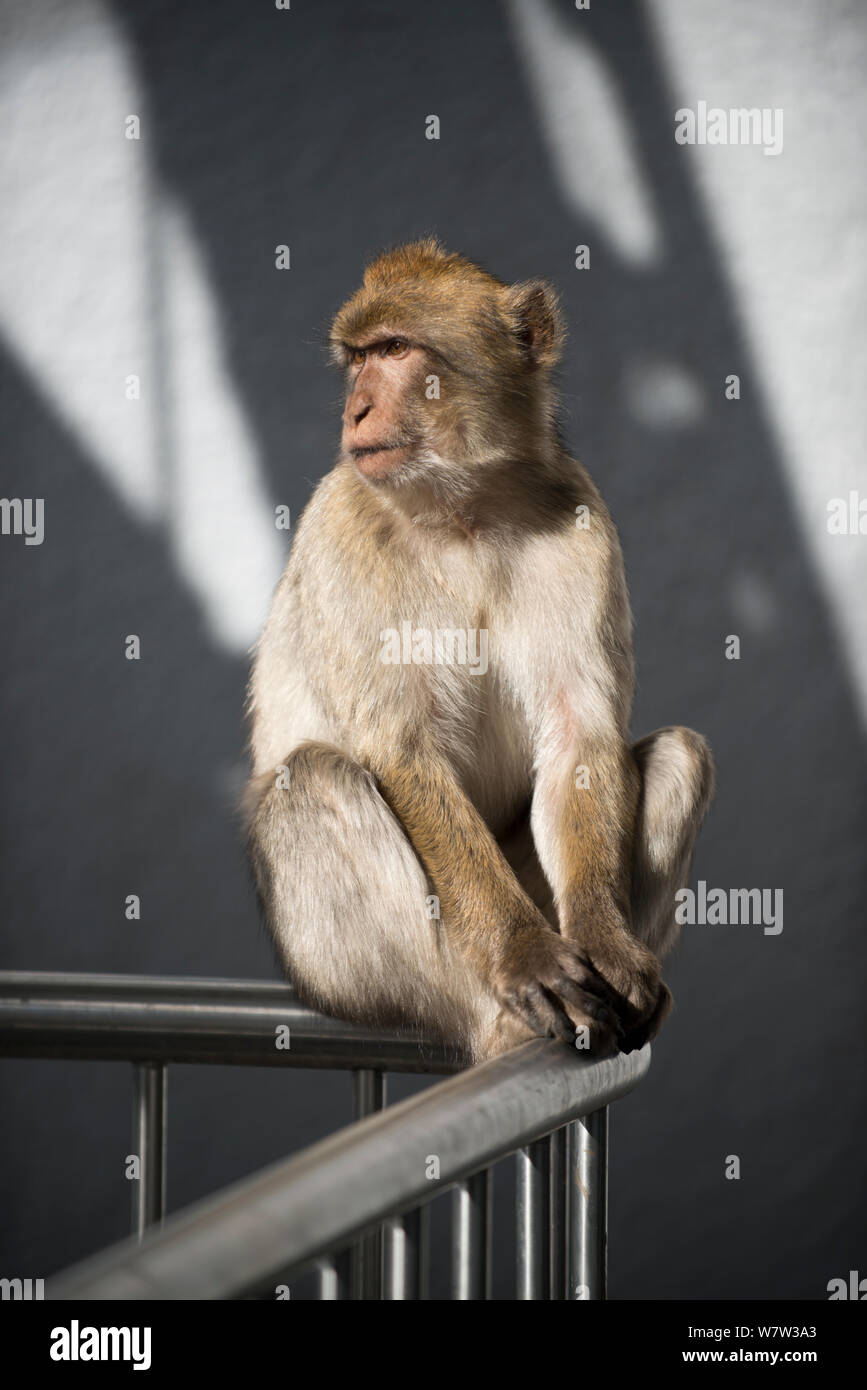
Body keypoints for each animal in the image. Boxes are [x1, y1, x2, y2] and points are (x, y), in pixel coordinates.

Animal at [241, 241, 711, 1061]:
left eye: (395, 350)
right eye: (357, 358)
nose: (354, 410)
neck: (461, 511)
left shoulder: (581, 523)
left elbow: (580, 739)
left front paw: (611, 949)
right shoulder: (342, 525)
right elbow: (402, 752)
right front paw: (526, 956)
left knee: (680, 754)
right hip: (363, 974)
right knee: (316, 780)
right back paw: (499, 1020)